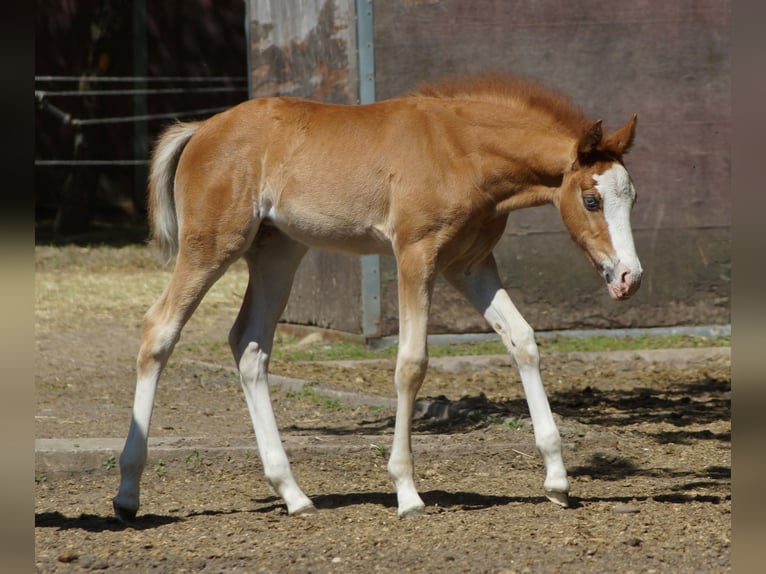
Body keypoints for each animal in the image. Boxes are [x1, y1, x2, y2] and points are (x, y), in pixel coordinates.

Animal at [113, 72, 641, 521]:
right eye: (591, 199)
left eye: (631, 197)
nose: (629, 277)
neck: (463, 149)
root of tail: (202, 129)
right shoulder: (415, 254)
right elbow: (411, 364)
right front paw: (406, 492)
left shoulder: (469, 265)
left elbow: (523, 340)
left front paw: (557, 480)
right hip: (212, 245)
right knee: (159, 329)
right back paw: (127, 494)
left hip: (277, 251)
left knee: (249, 346)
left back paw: (293, 494)